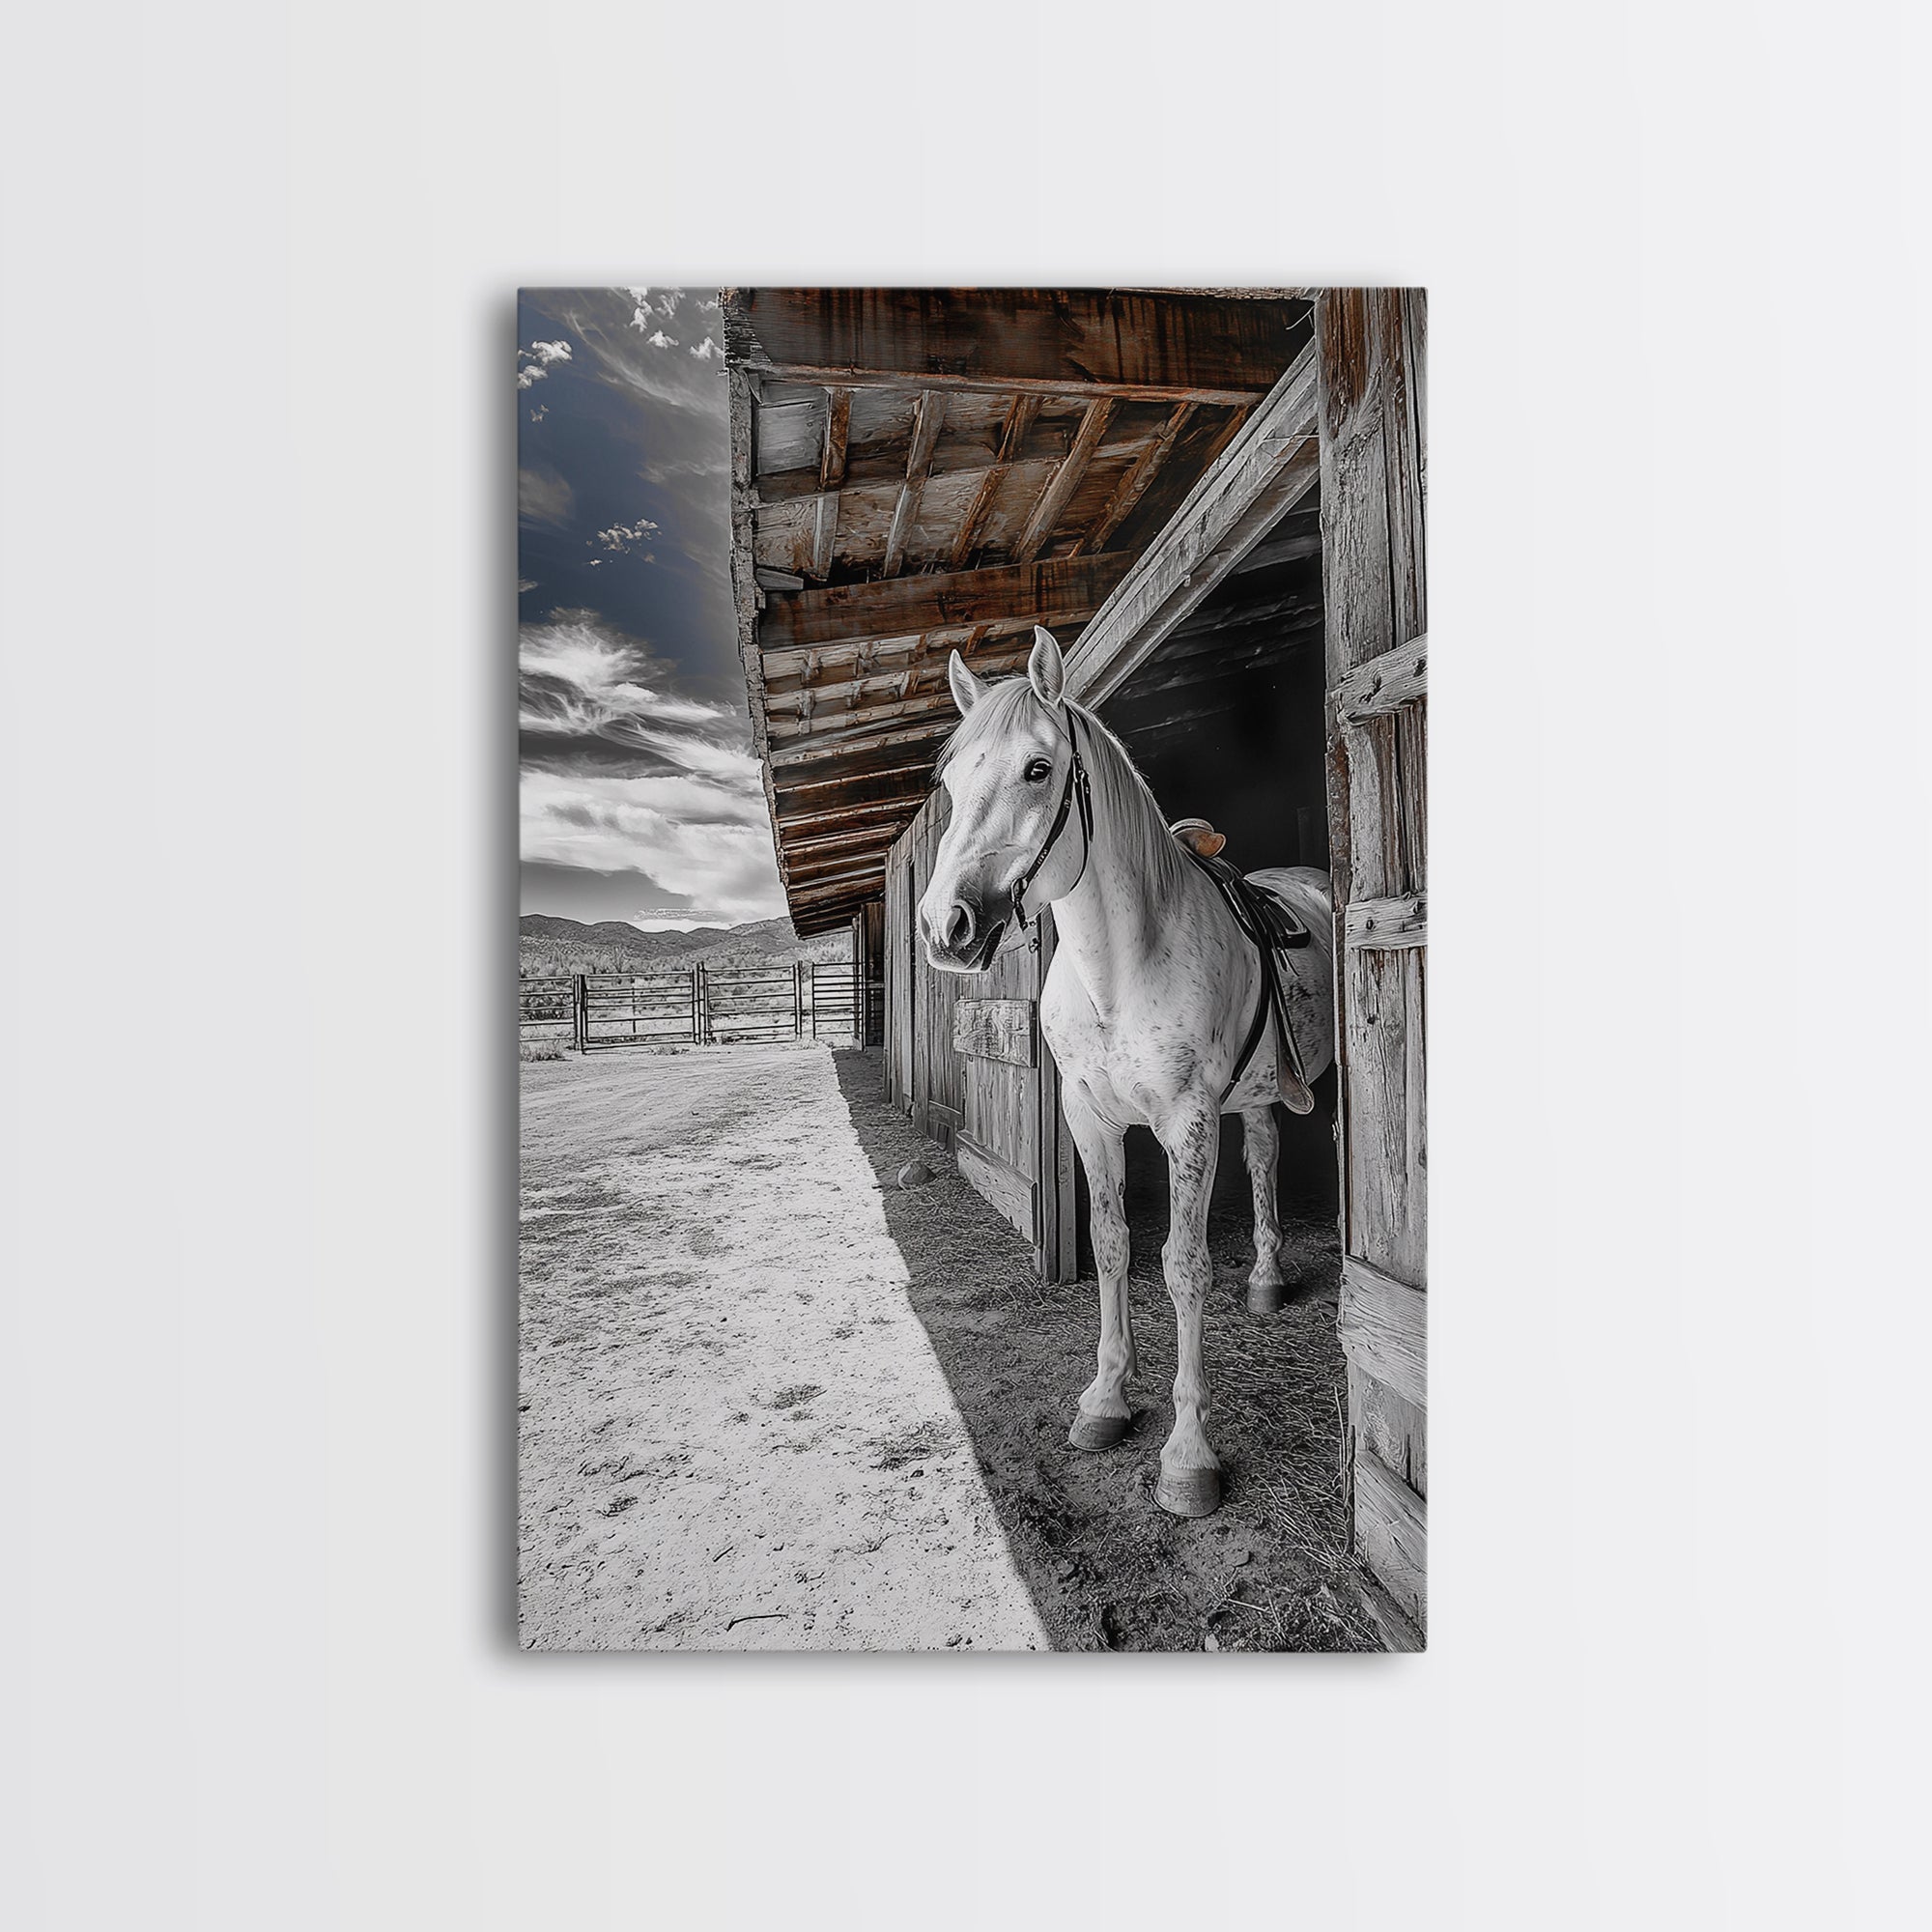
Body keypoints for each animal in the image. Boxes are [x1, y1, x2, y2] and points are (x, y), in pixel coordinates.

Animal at [917, 625, 1334, 1519]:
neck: (1119, 965)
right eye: (951, 779)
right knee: (1264, 1157)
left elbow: (1182, 1266)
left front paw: (1188, 1453)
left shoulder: (1186, 1123)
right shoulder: (1089, 1117)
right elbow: (1111, 1246)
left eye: (1038, 769)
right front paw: (1108, 1398)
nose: (944, 926)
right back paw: (1267, 1278)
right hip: (1253, 1099)